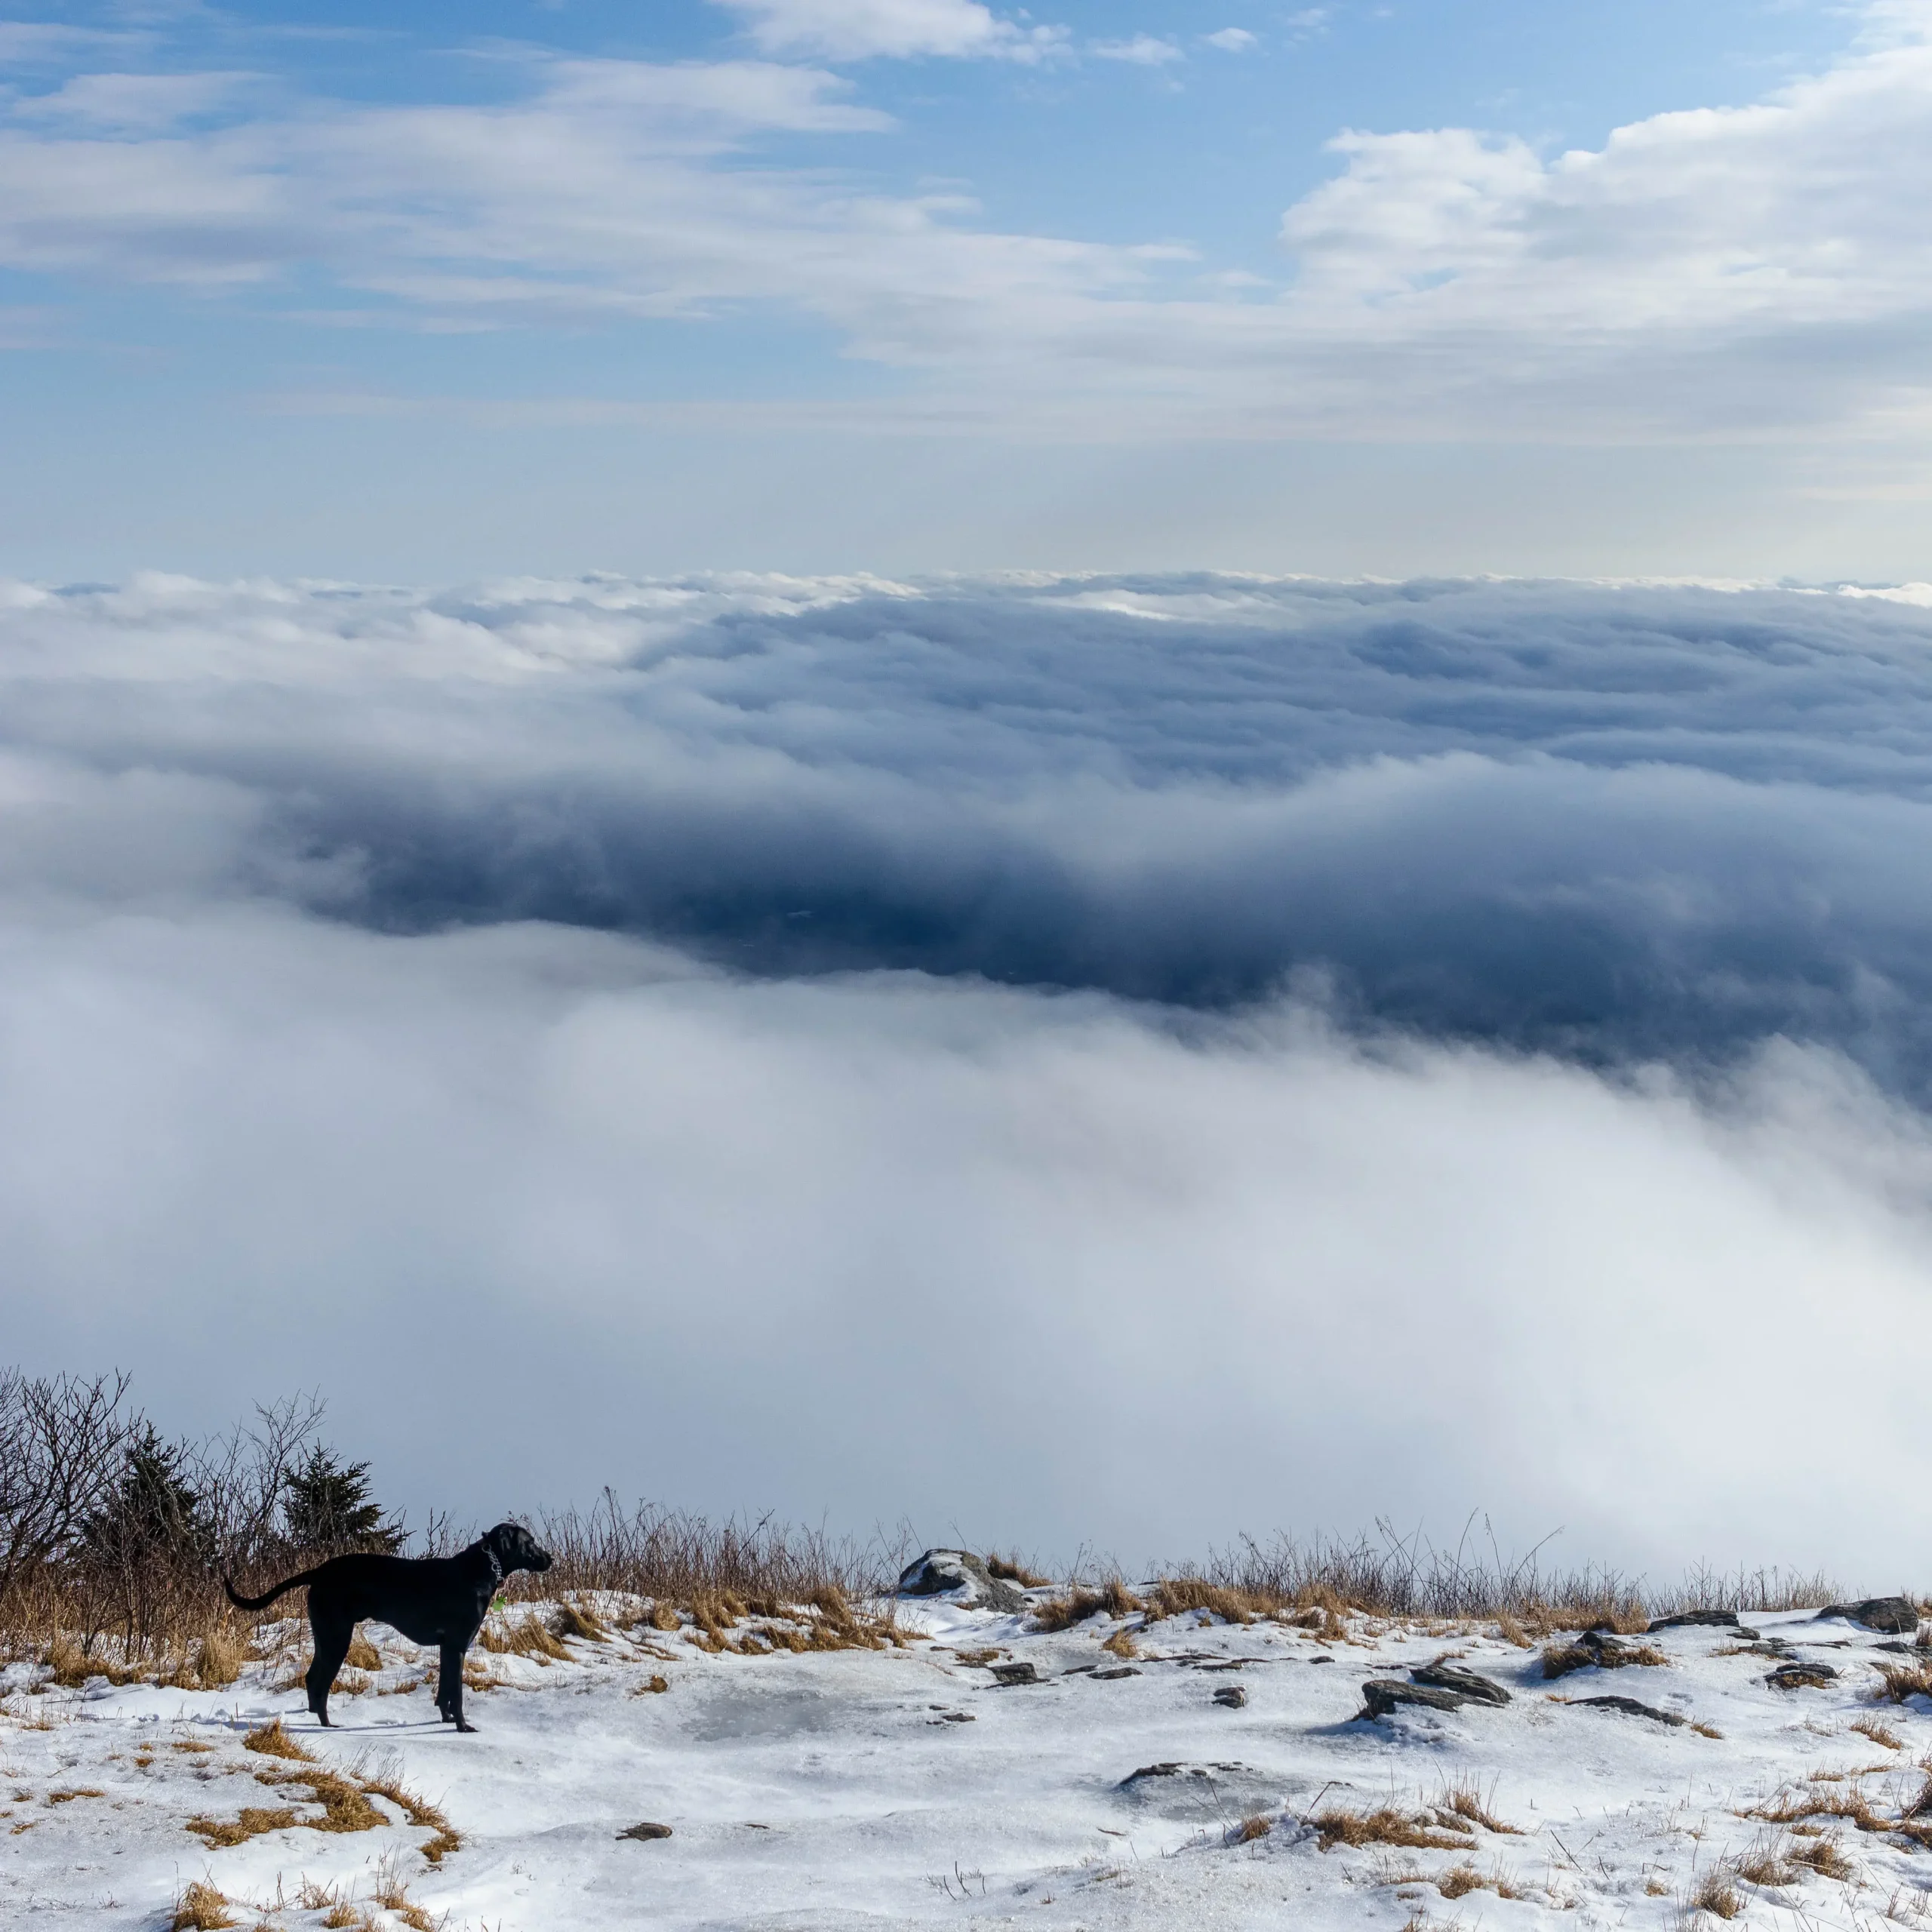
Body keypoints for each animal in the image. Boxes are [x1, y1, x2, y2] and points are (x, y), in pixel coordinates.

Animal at [222, 1522, 552, 1739]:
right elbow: (456, 1694)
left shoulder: (447, 1648)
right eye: (531, 1542)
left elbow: (445, 1690)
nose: (550, 1558)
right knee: (319, 1681)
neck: (480, 1570)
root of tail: (320, 1571)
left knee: (312, 1679)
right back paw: (328, 1725)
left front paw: (445, 1719)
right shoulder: (458, 1645)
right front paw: (462, 1727)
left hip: (325, 1636)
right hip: (337, 1636)